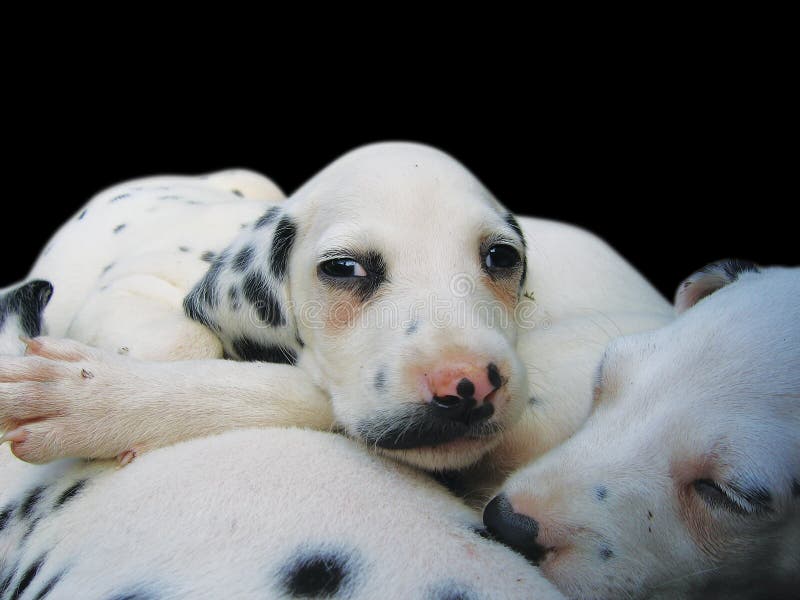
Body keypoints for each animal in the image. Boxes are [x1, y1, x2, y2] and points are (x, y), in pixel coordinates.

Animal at [0, 143, 676, 486]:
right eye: (344, 269)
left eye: (501, 257)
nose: (468, 386)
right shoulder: (135, 284)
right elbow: (183, 343)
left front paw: (100, 401)